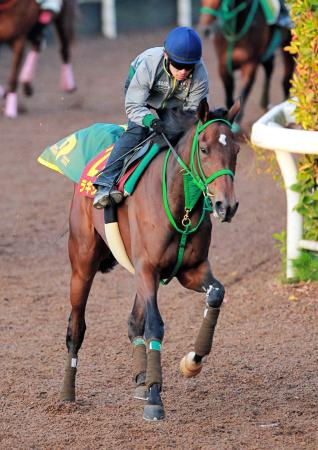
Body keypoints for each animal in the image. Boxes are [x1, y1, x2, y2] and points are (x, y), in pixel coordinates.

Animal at [58, 98, 241, 422]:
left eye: (237, 149)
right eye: (204, 148)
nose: (226, 205)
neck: (181, 205)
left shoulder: (191, 270)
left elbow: (216, 294)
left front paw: (192, 362)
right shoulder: (147, 268)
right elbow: (155, 326)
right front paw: (156, 398)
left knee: (134, 321)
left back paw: (141, 380)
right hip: (82, 264)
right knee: (76, 328)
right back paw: (68, 395)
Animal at [200, 0, 294, 131]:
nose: (206, 30)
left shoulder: (250, 64)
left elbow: (243, 91)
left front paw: (235, 122)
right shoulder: (223, 65)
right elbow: (229, 92)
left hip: (288, 45)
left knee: (287, 76)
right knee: (269, 67)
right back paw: (265, 102)